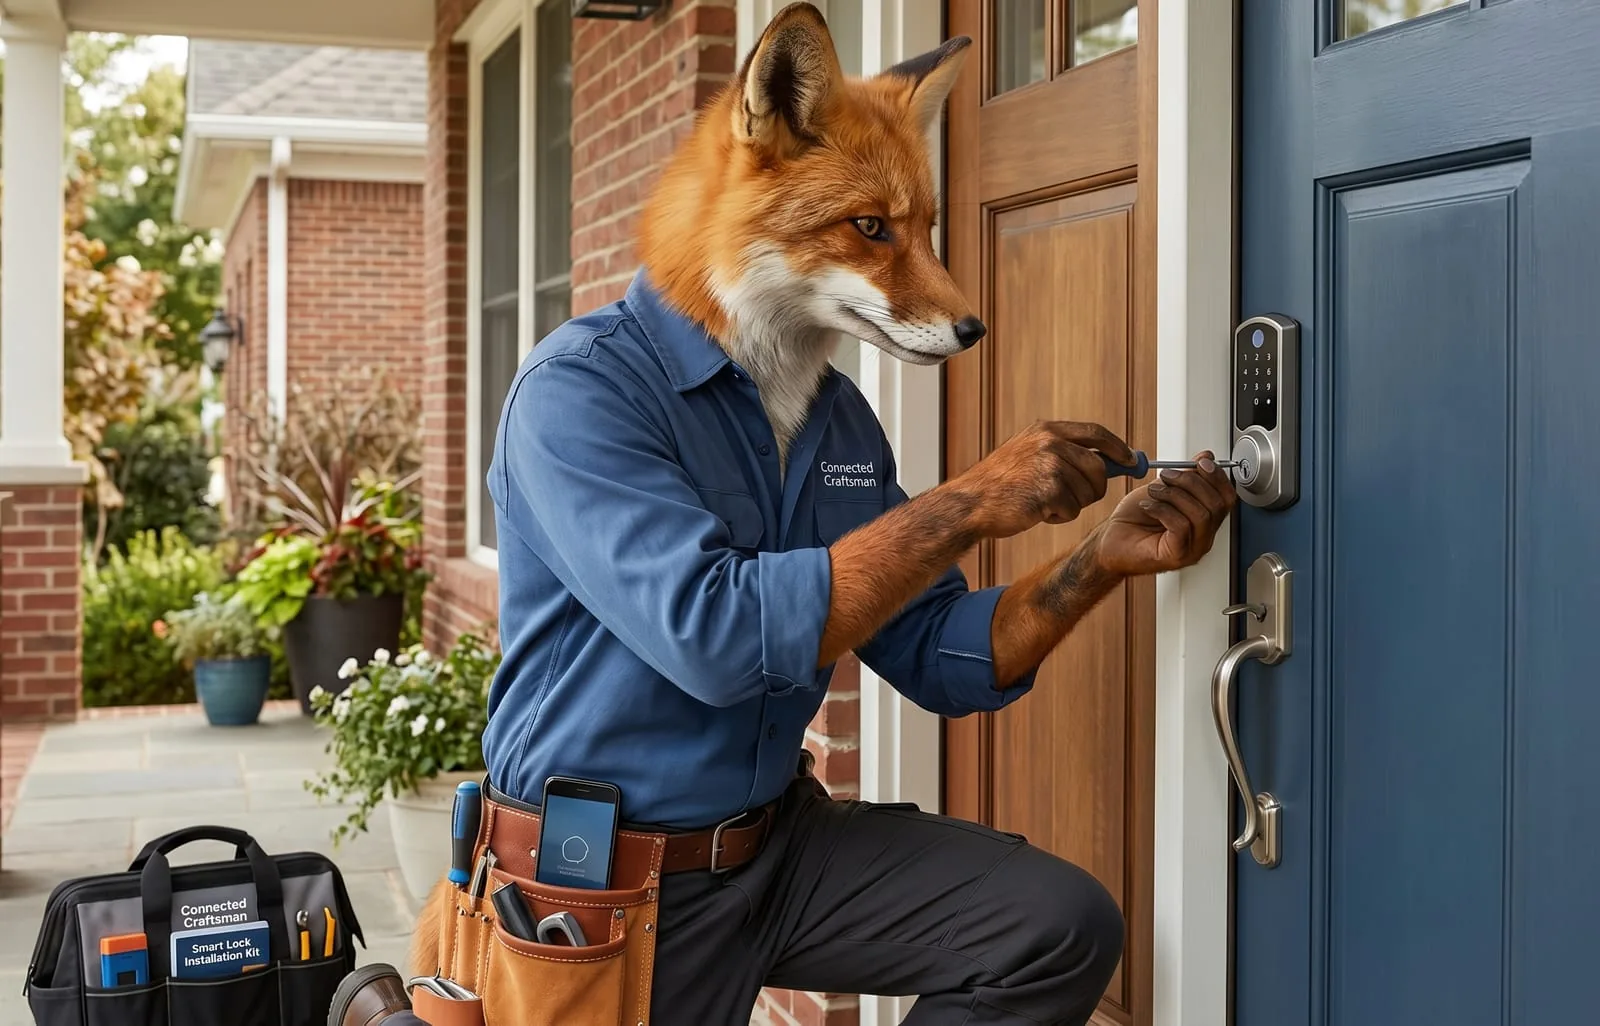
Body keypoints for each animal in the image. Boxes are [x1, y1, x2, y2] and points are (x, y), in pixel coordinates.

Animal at [410, 0, 1232, 986]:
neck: (762, 389)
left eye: (927, 226)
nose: (975, 328)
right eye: (870, 227)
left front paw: (1145, 522)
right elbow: (723, 617)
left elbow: (942, 639)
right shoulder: (595, 436)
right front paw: (1028, 468)